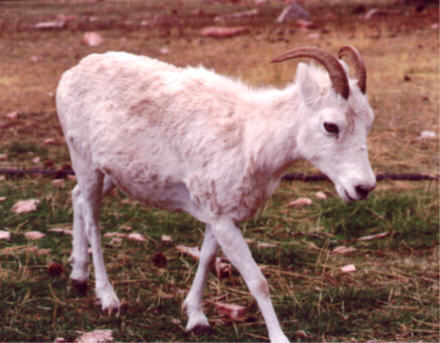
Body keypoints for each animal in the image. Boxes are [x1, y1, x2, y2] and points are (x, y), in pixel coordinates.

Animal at [56, 46, 376, 343]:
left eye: (368, 123)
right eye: (330, 125)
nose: (363, 187)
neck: (248, 138)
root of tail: (71, 74)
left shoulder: (217, 213)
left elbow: (208, 258)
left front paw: (196, 318)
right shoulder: (222, 218)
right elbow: (257, 280)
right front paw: (279, 337)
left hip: (108, 173)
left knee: (77, 197)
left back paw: (78, 278)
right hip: (84, 161)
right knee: (93, 220)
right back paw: (108, 299)